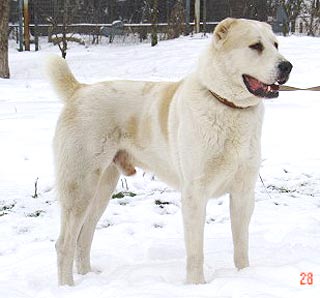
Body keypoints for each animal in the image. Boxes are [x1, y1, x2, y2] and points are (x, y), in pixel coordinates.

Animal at [48, 16, 292, 286]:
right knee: (64, 244)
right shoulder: (195, 194)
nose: (287, 66)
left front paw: (244, 275)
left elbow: (241, 244)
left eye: (276, 44)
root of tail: (79, 90)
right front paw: (196, 285)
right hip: (80, 187)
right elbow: (196, 250)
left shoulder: (243, 192)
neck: (227, 105)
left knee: (84, 235)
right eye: (256, 46)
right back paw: (67, 286)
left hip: (102, 188)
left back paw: (88, 276)